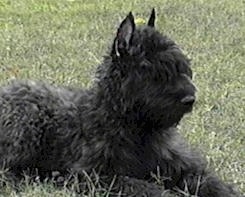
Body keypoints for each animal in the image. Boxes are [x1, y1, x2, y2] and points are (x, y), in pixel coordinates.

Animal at [0, 8, 241, 195]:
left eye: (182, 66)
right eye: (152, 70)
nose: (189, 99)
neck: (138, 129)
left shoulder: (181, 166)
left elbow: (212, 183)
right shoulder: (96, 175)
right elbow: (145, 187)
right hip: (27, 123)